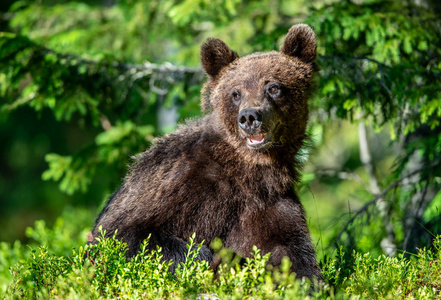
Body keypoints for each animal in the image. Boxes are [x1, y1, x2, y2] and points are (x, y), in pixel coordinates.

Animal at [91, 23, 322, 282]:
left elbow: (291, 255)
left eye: (273, 87)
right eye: (235, 93)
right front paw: (209, 259)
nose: (249, 117)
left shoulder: (269, 202)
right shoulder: (173, 181)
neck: (247, 169)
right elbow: (122, 233)